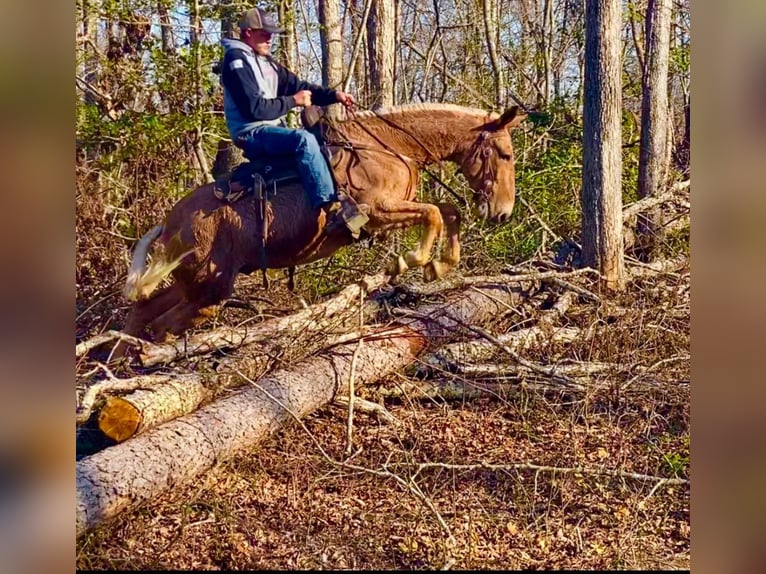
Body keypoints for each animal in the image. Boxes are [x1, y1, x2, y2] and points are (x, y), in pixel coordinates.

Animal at [118, 103, 528, 352]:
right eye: (505, 154)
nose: (502, 213)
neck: (387, 146)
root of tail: (171, 221)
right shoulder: (375, 211)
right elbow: (434, 214)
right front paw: (410, 261)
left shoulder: (398, 208)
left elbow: (447, 211)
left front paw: (440, 264)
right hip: (208, 288)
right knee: (161, 323)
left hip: (194, 283)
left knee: (142, 311)